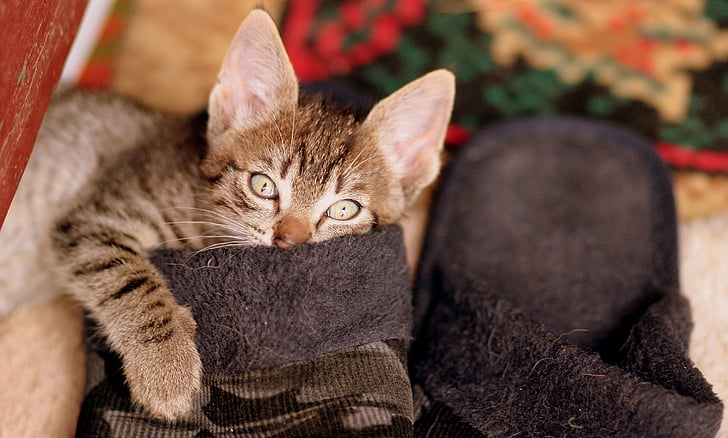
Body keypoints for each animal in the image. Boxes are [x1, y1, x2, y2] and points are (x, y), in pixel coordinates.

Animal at [19, 11, 452, 420]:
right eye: (263, 185)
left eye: (344, 209)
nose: (288, 241)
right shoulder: (95, 216)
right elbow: (128, 277)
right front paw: (166, 369)